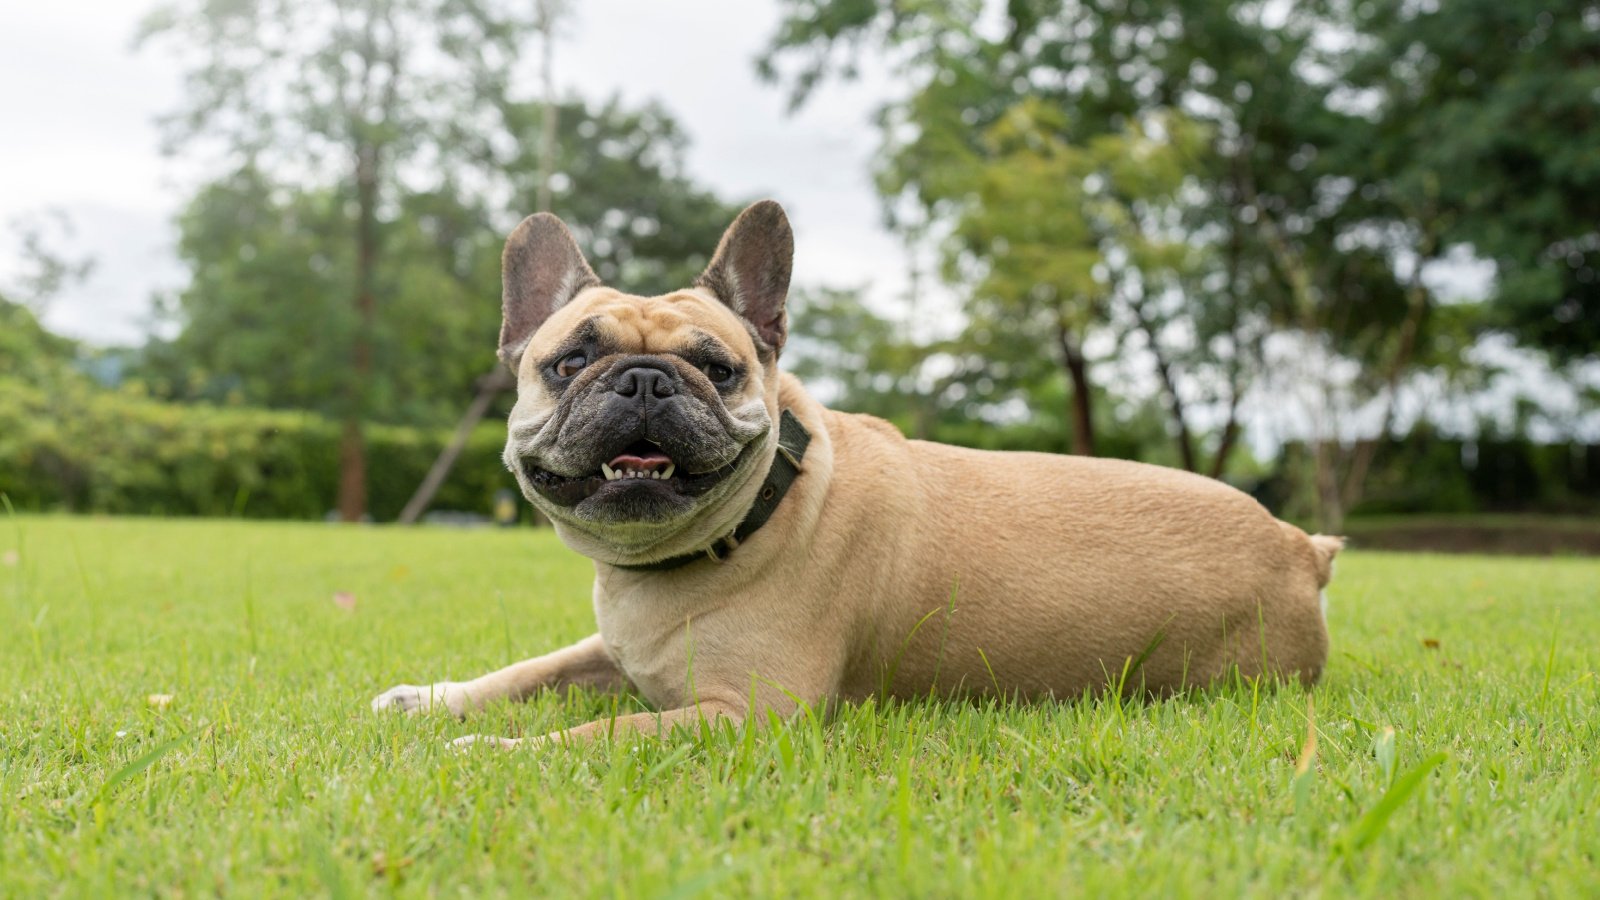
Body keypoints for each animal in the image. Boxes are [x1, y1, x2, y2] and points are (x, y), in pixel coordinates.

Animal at [371, 199, 1337, 746]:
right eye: (569, 362)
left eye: (718, 368)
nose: (644, 379)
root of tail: (1300, 547)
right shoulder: (606, 653)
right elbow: (526, 672)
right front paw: (429, 700)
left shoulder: (747, 716)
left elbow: (596, 736)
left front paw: (487, 758)